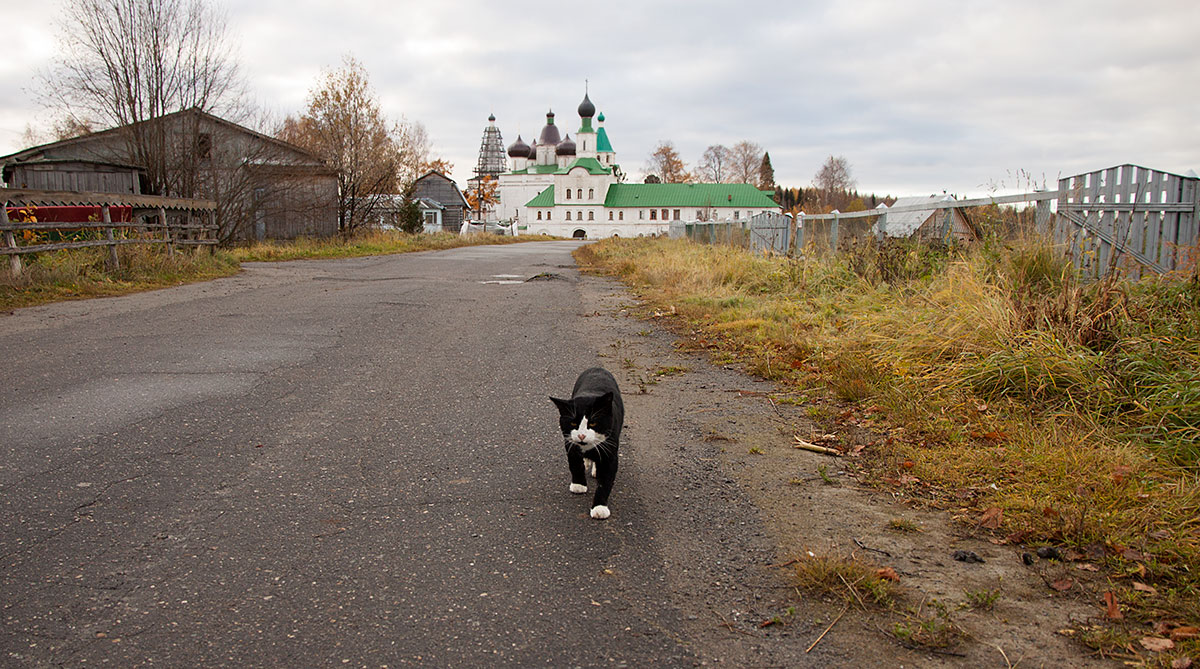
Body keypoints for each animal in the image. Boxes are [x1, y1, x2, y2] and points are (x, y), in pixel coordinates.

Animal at [552, 369, 628, 522]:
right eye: (573, 423)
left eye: (592, 423)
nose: (581, 435)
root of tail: (597, 368)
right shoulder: (570, 445)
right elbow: (575, 465)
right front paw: (579, 485)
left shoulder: (610, 452)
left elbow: (606, 481)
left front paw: (599, 508)